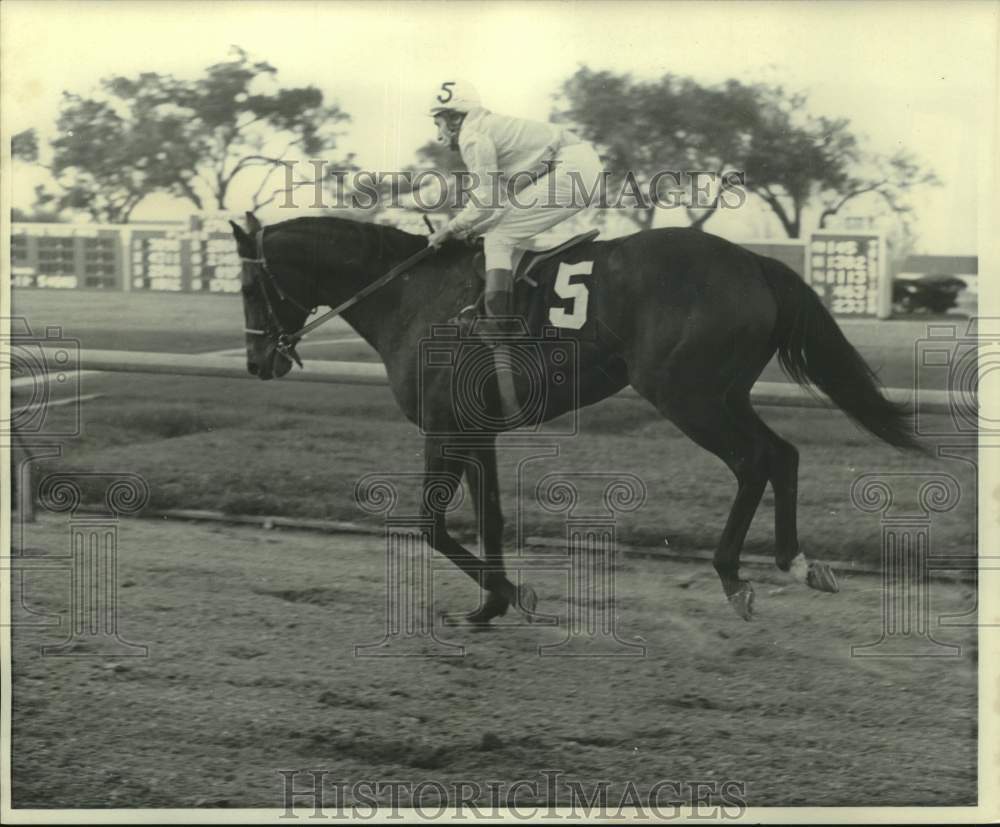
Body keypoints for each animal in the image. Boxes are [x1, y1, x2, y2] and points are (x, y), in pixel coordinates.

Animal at [232, 212, 920, 620]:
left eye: (244, 285)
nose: (257, 360)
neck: (413, 296)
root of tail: (753, 262)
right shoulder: (476, 429)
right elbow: (490, 516)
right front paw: (491, 604)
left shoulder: (442, 428)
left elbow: (430, 525)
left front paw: (513, 593)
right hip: (724, 393)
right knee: (782, 453)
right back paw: (797, 562)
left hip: (687, 394)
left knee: (754, 460)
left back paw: (733, 575)